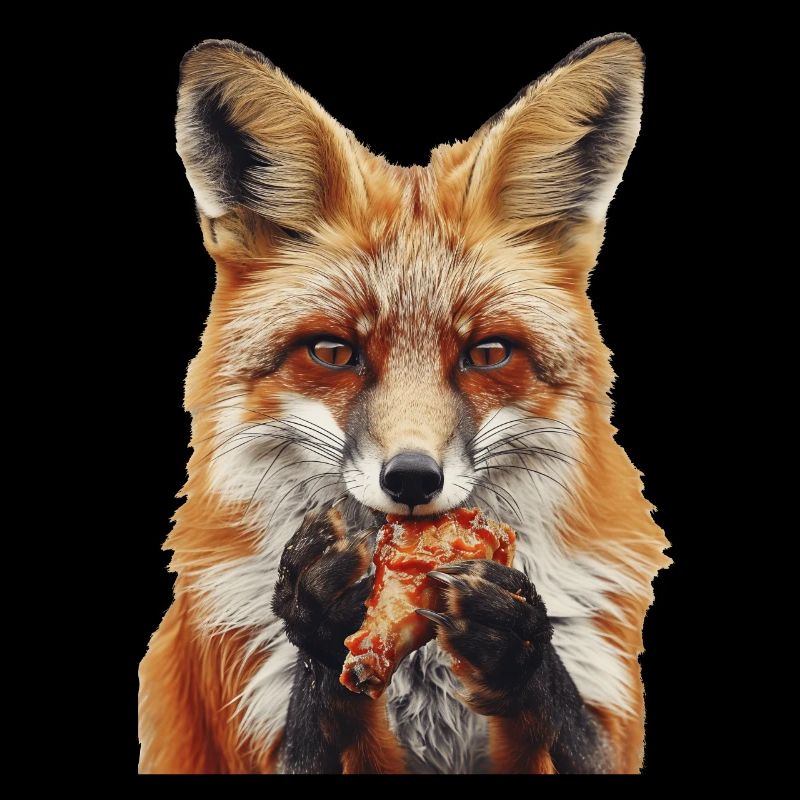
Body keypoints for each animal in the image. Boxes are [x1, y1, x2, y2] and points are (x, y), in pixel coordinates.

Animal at [138, 33, 671, 774]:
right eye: (333, 353)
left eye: (488, 353)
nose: (413, 479)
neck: (425, 681)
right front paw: (318, 616)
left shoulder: (607, 730)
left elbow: (559, 712)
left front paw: (519, 646)